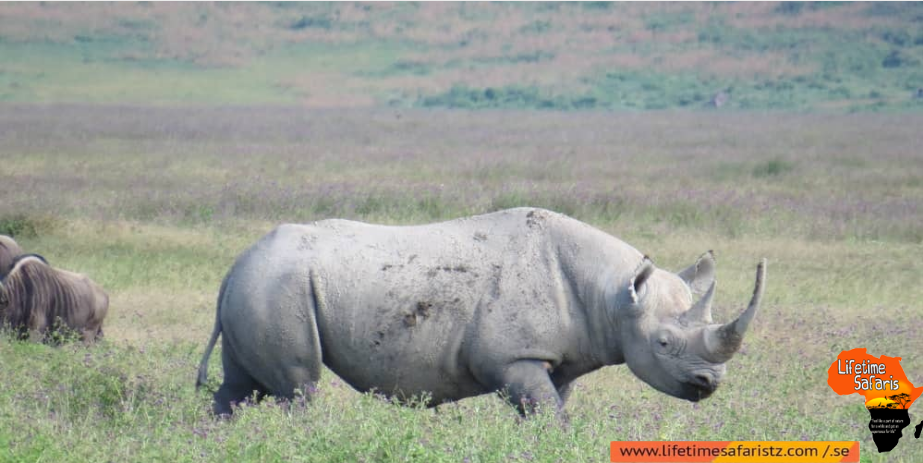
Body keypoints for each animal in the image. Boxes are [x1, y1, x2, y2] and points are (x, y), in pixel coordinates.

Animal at [197, 208, 765, 416]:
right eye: (664, 344)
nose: (709, 384)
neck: (612, 295)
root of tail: (233, 265)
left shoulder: (555, 358)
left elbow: (551, 408)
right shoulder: (513, 358)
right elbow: (547, 412)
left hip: (261, 285)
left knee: (240, 385)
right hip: (278, 287)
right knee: (299, 386)